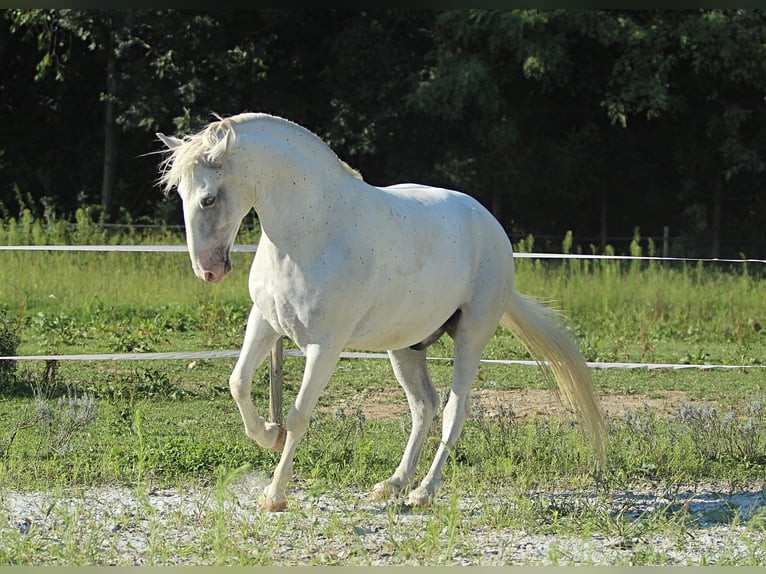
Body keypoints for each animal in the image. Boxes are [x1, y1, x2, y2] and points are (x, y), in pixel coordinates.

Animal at [158, 112, 608, 512]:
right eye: (179, 194)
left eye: (208, 198)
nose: (208, 270)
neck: (310, 231)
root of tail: (492, 228)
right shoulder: (266, 322)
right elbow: (238, 383)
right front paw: (270, 436)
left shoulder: (325, 346)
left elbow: (300, 414)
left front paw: (274, 495)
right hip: (405, 346)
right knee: (423, 407)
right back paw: (392, 485)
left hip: (471, 336)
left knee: (453, 411)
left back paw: (423, 492)